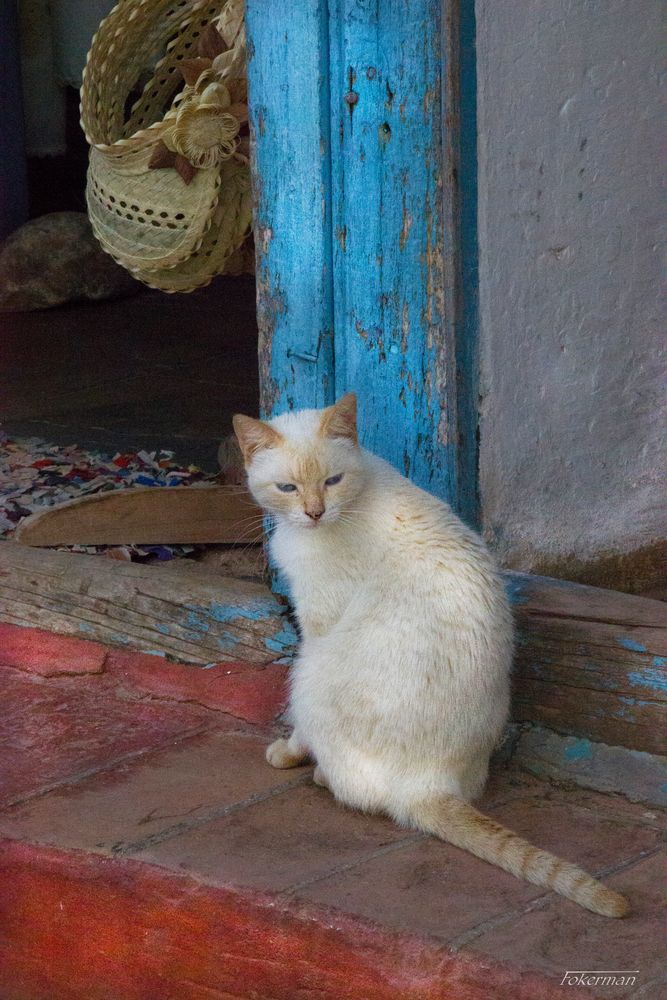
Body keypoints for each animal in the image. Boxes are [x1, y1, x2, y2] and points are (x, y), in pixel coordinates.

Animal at [235, 388, 632, 916]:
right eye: (287, 487)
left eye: (332, 481)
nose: (315, 513)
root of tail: (431, 782)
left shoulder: (316, 622)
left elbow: (296, 731)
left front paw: (283, 752)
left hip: (311, 673)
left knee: (350, 783)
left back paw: (318, 773)